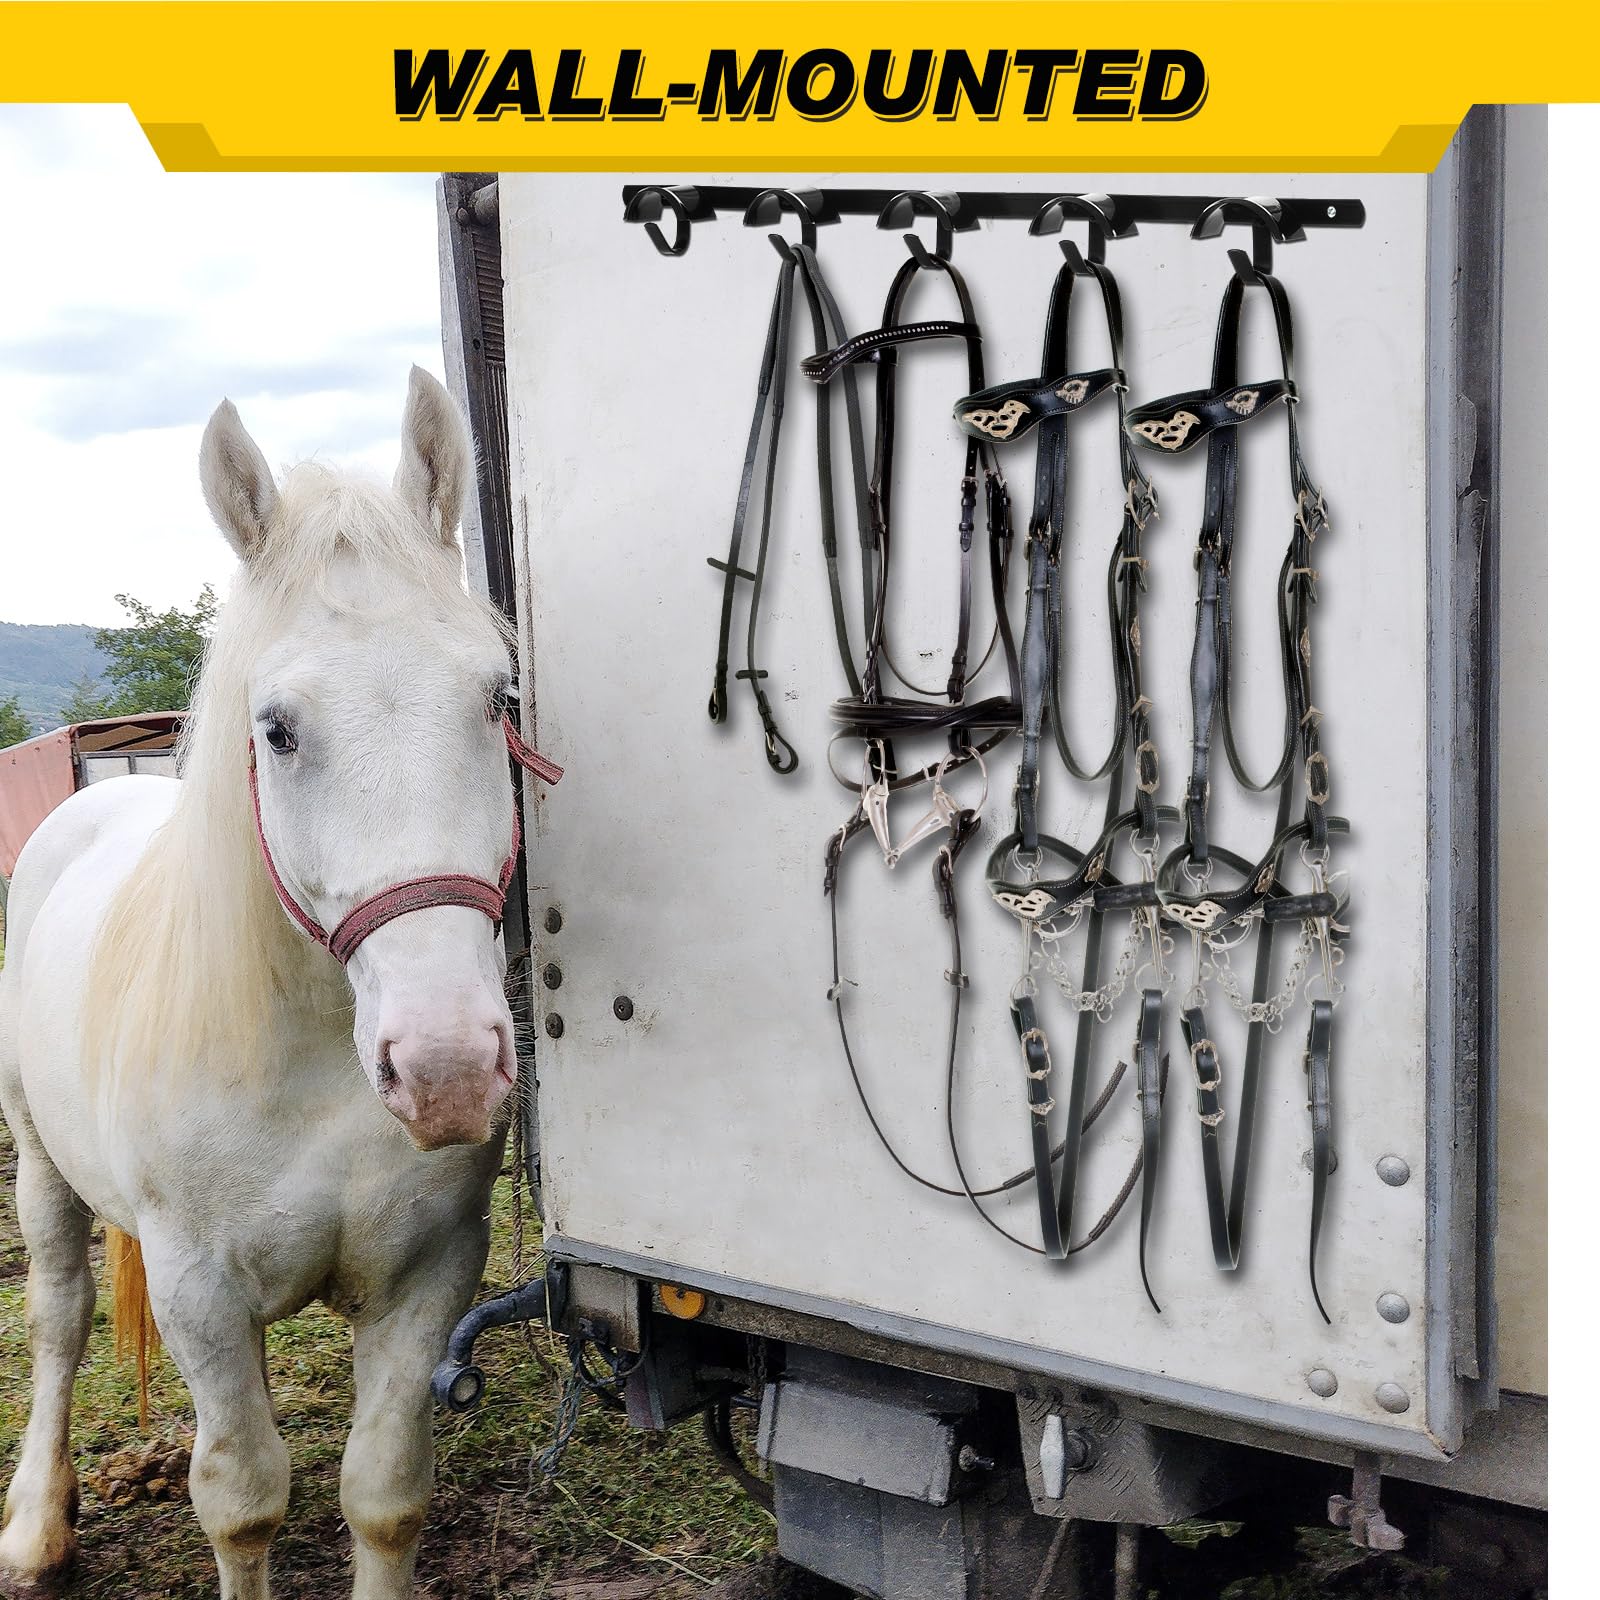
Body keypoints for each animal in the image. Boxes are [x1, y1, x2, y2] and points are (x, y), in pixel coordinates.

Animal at [0, 368, 540, 1599]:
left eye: (496, 699)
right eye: (278, 729)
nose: (445, 1068)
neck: (307, 1060)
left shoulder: (429, 1275)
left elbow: (384, 1496)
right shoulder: (202, 1290)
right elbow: (241, 1502)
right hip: (38, 1161)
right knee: (59, 1319)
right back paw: (36, 1525)